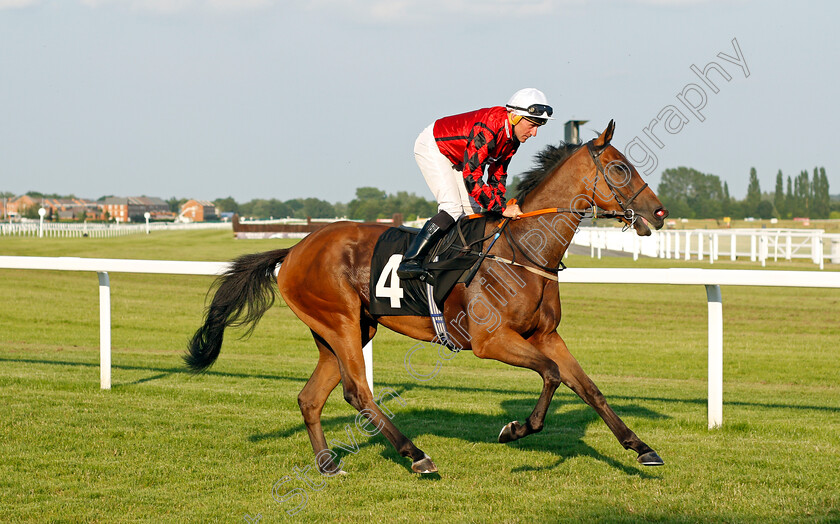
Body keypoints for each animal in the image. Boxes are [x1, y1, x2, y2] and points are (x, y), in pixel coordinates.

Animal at [185, 119, 668, 474]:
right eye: (620, 168)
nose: (659, 213)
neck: (523, 249)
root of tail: (295, 248)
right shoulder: (491, 342)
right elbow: (551, 375)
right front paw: (516, 429)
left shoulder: (547, 335)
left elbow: (588, 387)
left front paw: (641, 446)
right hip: (340, 323)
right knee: (358, 392)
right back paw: (416, 455)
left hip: (342, 330)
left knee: (311, 397)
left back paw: (327, 463)